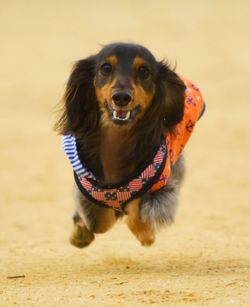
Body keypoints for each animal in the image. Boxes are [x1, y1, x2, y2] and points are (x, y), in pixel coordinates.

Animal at [55, 42, 205, 248]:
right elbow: (98, 222)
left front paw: (145, 234)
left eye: (143, 71)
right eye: (105, 68)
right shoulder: (90, 191)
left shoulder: (164, 189)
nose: (121, 97)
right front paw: (80, 232)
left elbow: (138, 212)